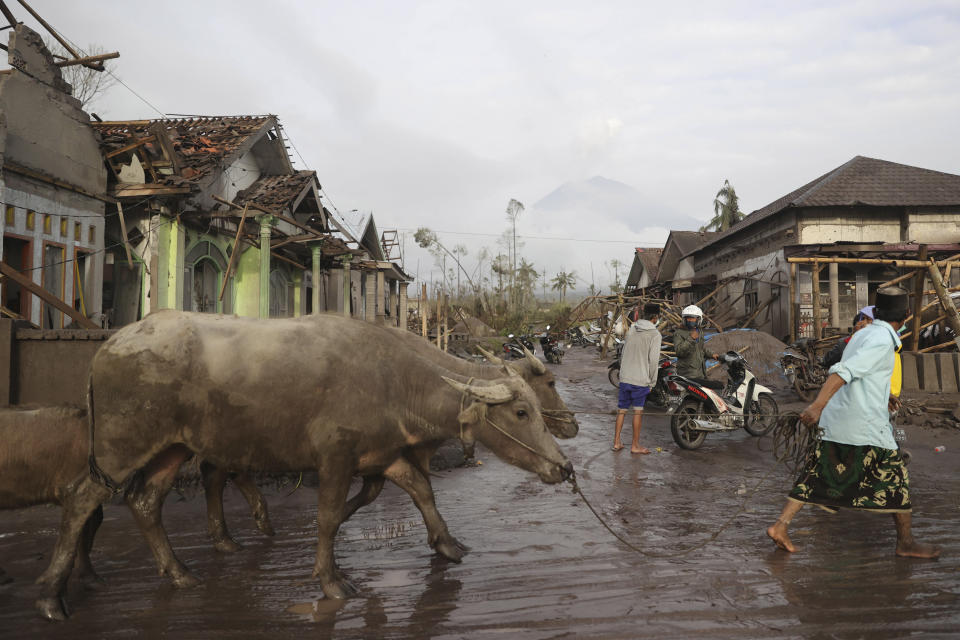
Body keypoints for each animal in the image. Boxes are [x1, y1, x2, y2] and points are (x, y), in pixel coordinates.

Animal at [37, 310, 568, 620]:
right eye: (522, 412)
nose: (564, 468)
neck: (394, 377)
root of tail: (109, 345)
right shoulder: (335, 459)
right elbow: (329, 517)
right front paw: (331, 579)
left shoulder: (382, 457)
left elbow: (421, 491)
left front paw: (449, 546)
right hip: (121, 447)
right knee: (82, 499)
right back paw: (50, 596)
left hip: (173, 447)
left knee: (146, 501)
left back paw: (180, 572)